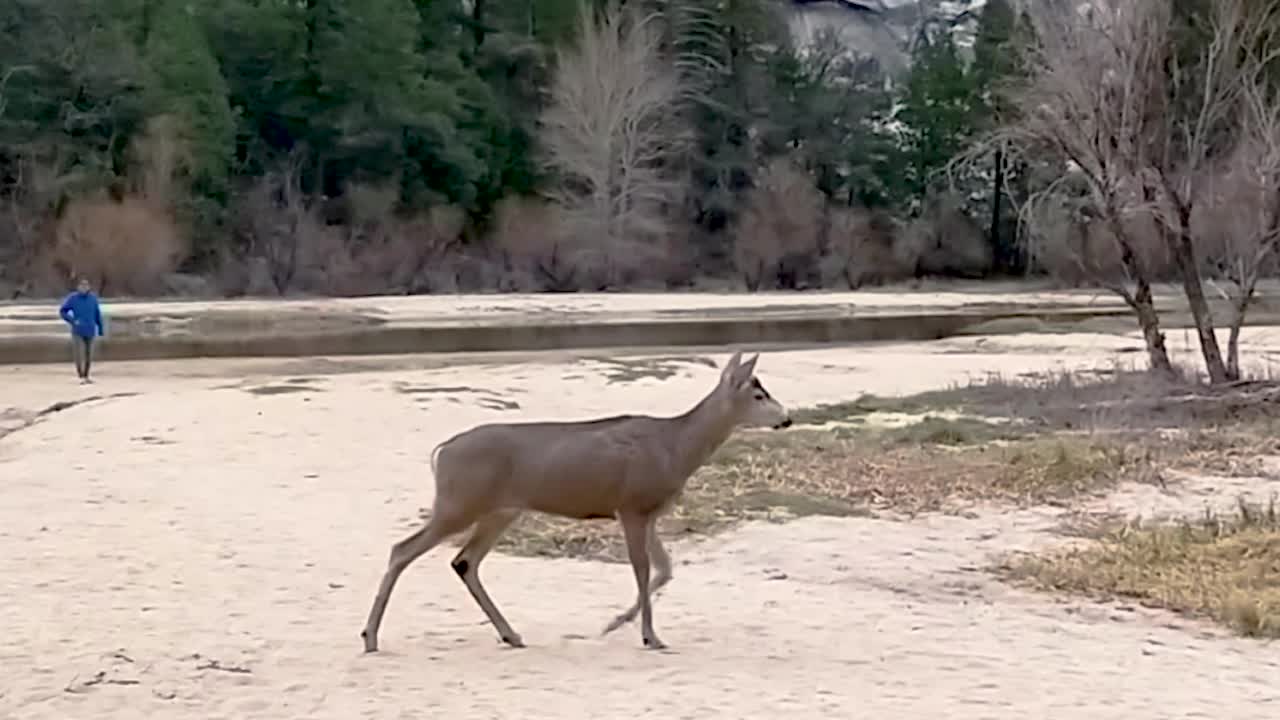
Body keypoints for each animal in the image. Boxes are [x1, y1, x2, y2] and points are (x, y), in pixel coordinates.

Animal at [360, 350, 792, 653]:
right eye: (758, 393)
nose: (786, 419)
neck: (675, 447)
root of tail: (441, 452)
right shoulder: (631, 505)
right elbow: (641, 568)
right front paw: (650, 636)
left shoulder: (649, 512)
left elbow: (665, 569)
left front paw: (615, 623)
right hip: (458, 502)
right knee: (403, 550)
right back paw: (370, 637)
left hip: (500, 510)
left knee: (465, 561)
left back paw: (511, 635)